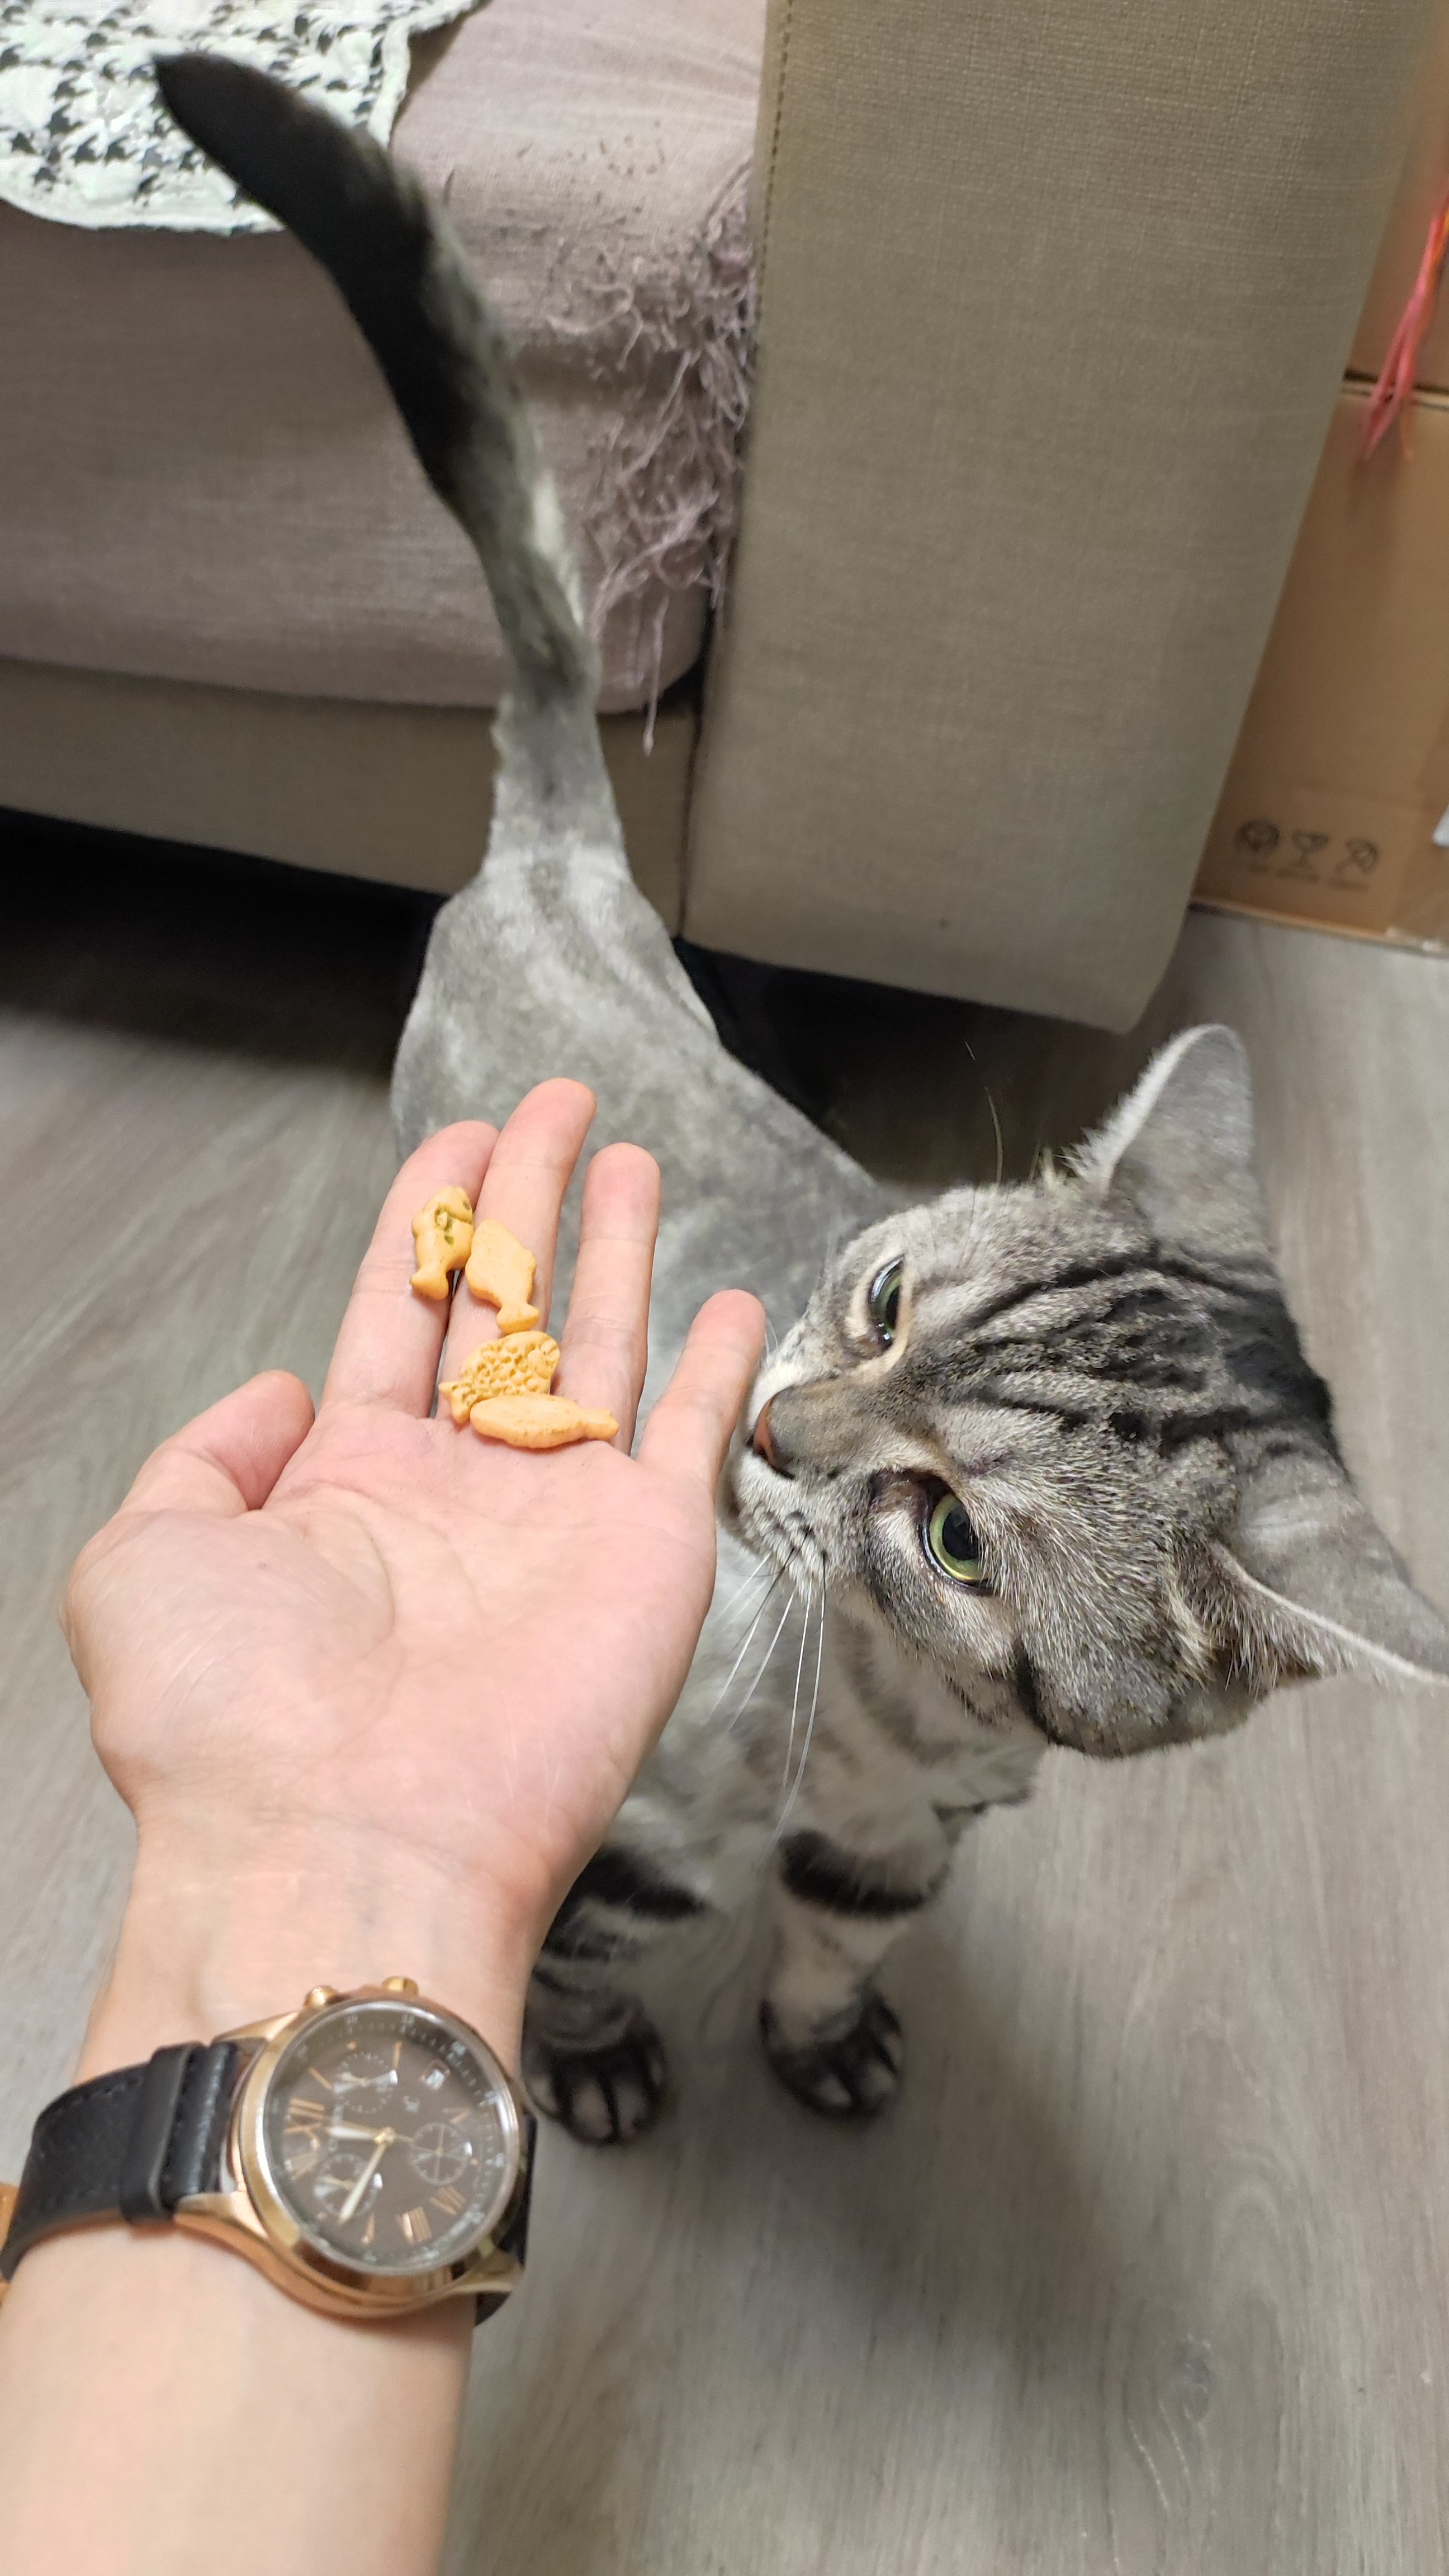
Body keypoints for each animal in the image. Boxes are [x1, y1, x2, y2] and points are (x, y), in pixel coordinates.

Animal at [160, 56, 1449, 2144]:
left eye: (956, 1537)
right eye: (884, 1297)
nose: (763, 1433)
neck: (892, 1724)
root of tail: (564, 863)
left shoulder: (909, 1840)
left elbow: (840, 1939)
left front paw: (823, 2036)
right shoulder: (635, 1835)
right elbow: (582, 1959)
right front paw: (596, 2065)